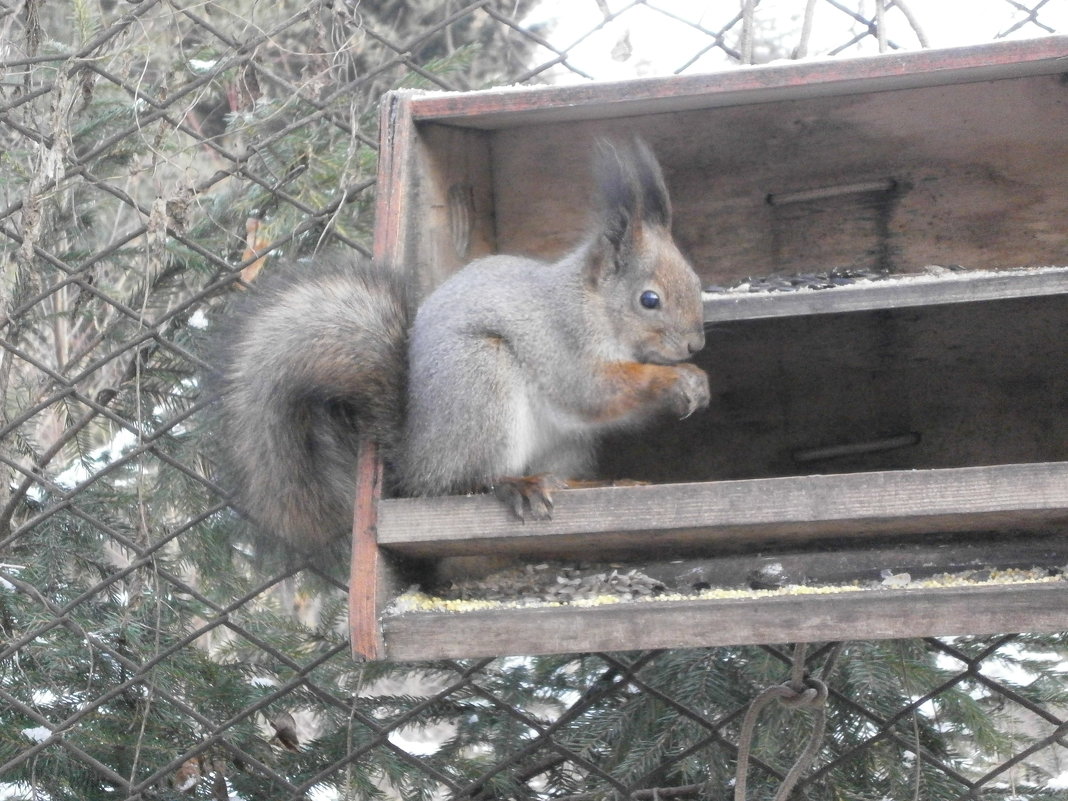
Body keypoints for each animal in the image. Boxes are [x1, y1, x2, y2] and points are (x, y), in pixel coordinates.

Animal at [208, 139, 709, 559]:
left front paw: (698, 380)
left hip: (565, 445)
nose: (695, 343)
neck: (594, 306)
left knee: (557, 477)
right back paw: (516, 485)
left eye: (697, 280)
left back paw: (598, 484)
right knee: (469, 481)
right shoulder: (561, 339)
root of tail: (417, 463)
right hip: (482, 380)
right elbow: (590, 391)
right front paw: (675, 380)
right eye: (650, 299)